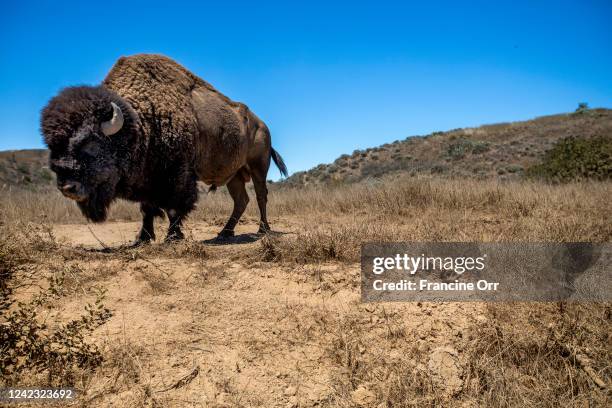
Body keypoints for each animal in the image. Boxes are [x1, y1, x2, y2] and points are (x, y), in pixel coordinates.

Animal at [41, 54, 288, 245]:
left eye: (90, 144)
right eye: (52, 146)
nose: (67, 187)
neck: (139, 123)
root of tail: (261, 124)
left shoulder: (178, 175)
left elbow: (174, 208)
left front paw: (172, 236)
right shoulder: (147, 176)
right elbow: (147, 209)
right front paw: (143, 238)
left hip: (258, 167)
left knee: (261, 196)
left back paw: (263, 229)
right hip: (234, 175)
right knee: (241, 200)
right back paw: (225, 232)